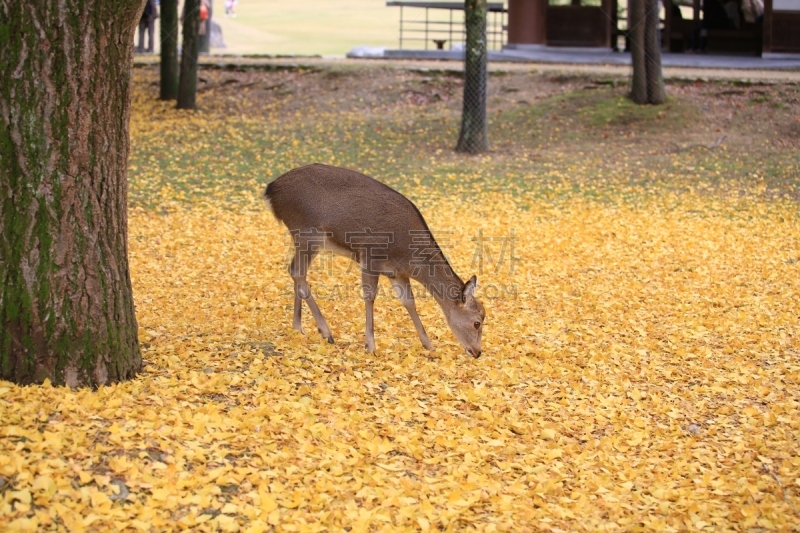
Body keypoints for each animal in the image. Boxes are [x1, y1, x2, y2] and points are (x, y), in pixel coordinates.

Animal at [266, 164, 484, 356]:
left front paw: (429, 345)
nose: (477, 352)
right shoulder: (371, 257)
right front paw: (370, 346)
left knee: (297, 272)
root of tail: (271, 190)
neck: (409, 257)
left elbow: (409, 301)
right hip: (307, 232)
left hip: (301, 237)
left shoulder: (397, 273)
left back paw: (298, 327)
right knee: (296, 271)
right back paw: (325, 332)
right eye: (477, 322)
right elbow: (370, 296)